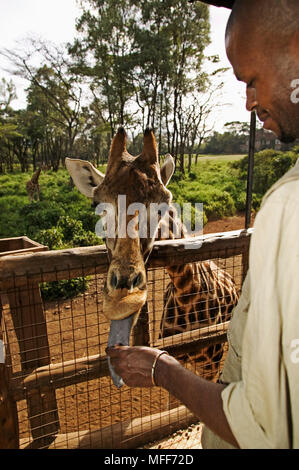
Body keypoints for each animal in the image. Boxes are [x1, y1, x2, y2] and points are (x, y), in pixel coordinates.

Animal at [67, 127, 240, 386]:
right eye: (97, 204)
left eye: (163, 205)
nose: (122, 299)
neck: (187, 294)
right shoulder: (179, 359)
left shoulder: (210, 365)